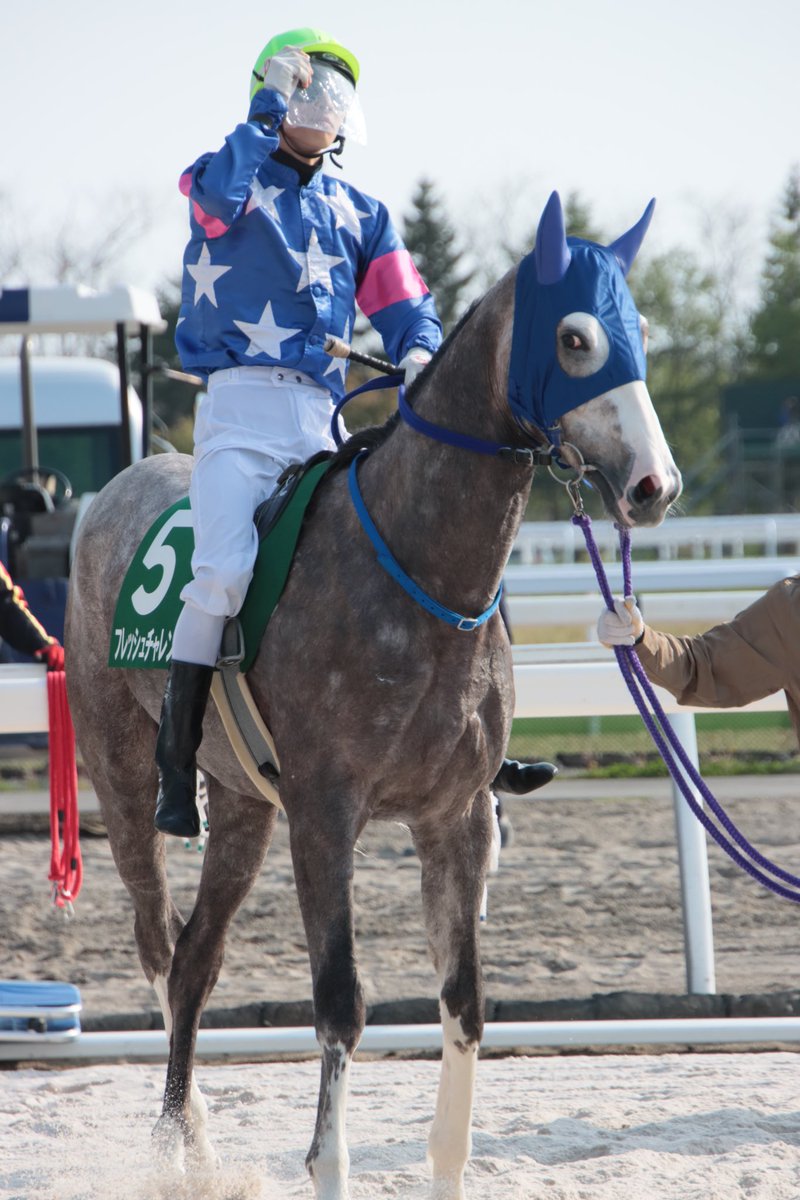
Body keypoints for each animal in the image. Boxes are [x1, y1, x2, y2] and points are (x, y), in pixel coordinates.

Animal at [65, 192, 681, 1195]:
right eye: (577, 338)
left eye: (643, 335)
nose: (655, 485)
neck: (417, 569)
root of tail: (111, 489)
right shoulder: (325, 814)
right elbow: (341, 1005)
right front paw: (328, 1160)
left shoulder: (455, 817)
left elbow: (465, 1004)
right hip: (122, 775)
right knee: (158, 945)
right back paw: (177, 1145)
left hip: (243, 803)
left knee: (196, 959)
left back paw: (201, 1151)